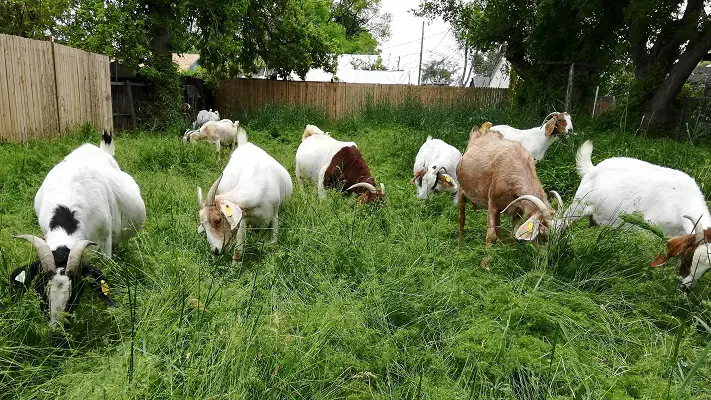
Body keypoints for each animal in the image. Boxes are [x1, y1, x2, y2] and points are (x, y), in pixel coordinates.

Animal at [197, 126, 292, 260]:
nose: (215, 251)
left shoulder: (274, 216)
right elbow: (238, 251)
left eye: (218, 219)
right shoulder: (242, 219)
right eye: (204, 226)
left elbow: (273, 244)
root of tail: (244, 144)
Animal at [564, 140, 708, 288]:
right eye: (689, 257)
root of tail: (592, 169)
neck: (682, 199)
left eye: (707, 269)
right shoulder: (648, 231)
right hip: (579, 206)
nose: (685, 287)